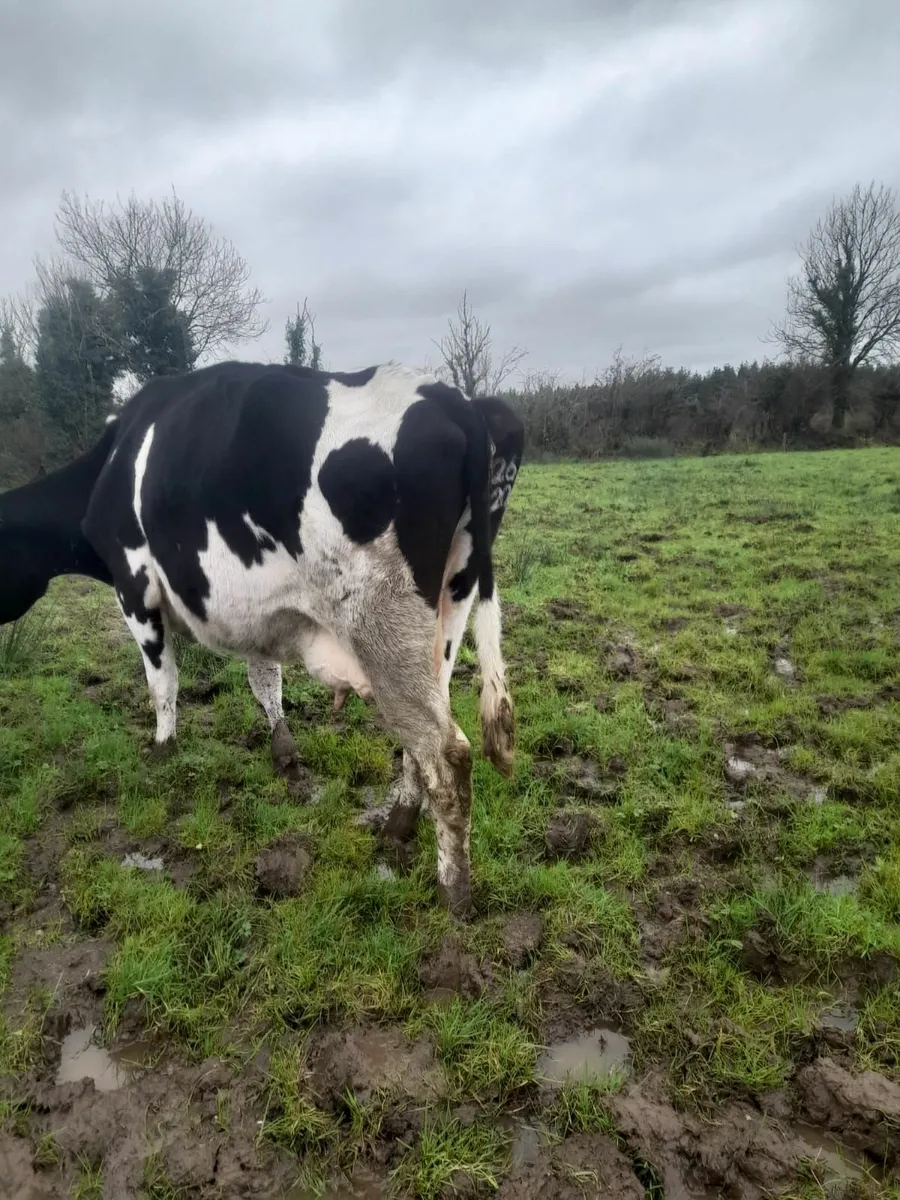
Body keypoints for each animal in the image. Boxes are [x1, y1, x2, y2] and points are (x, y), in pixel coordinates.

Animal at [0, 360, 525, 917]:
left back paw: (453, 890)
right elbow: (264, 680)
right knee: (422, 739)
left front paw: (163, 747)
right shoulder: (255, 614)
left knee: (444, 754)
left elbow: (163, 681)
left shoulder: (135, 586)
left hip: (383, 626)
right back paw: (398, 825)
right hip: (446, 616)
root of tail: (455, 399)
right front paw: (283, 750)